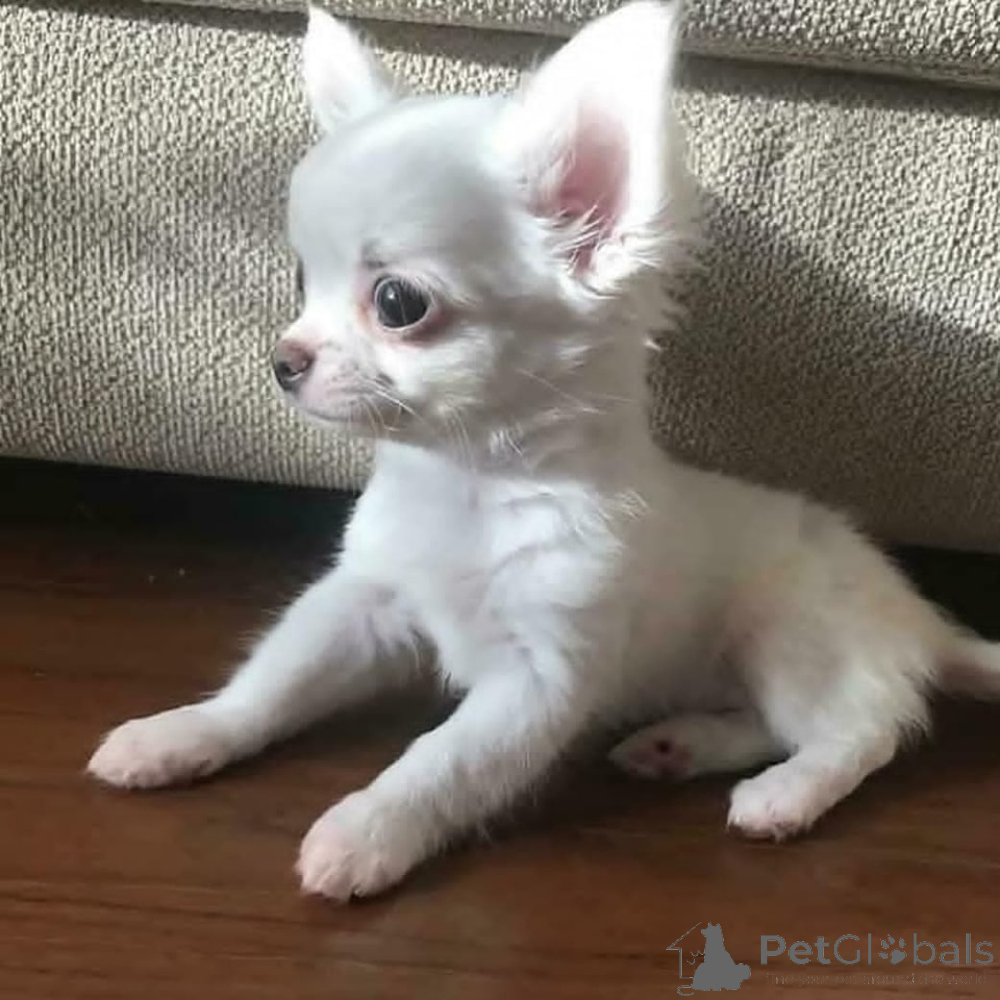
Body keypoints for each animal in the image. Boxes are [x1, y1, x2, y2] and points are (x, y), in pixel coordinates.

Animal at [89, 1, 1000, 901]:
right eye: (300, 281)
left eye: (398, 302)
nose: (283, 360)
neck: (469, 484)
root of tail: (914, 613)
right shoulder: (364, 602)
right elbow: (274, 681)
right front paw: (186, 733)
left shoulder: (538, 678)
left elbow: (440, 762)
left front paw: (365, 831)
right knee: (775, 723)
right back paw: (680, 745)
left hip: (792, 632)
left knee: (860, 731)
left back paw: (788, 792)